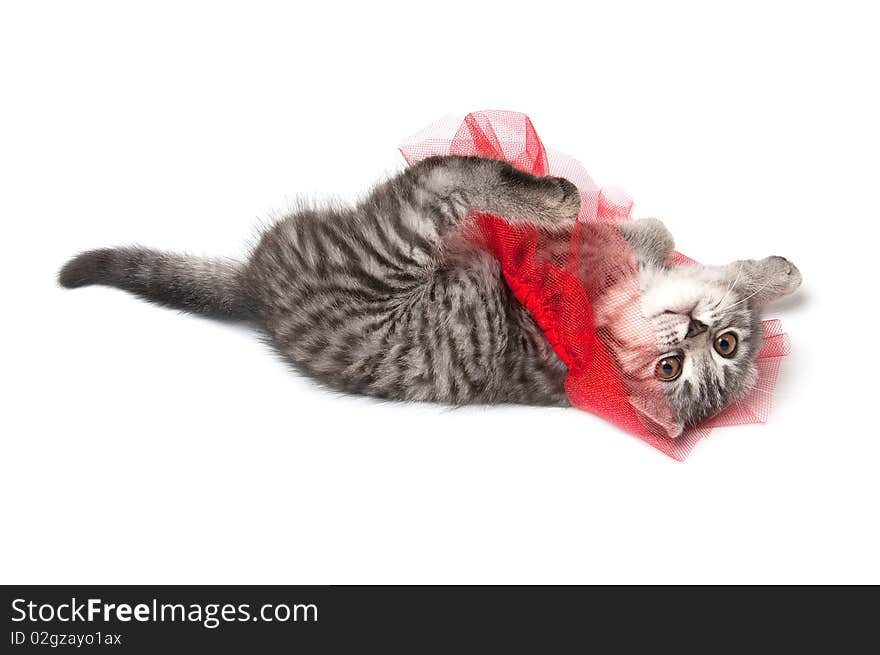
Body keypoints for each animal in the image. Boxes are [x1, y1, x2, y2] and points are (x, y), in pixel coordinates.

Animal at [60, 156, 804, 438]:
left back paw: (550, 197)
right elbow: (671, 241)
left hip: (398, 233)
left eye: (674, 369)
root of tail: (255, 293)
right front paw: (773, 272)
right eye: (721, 345)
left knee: (445, 174)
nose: (693, 328)